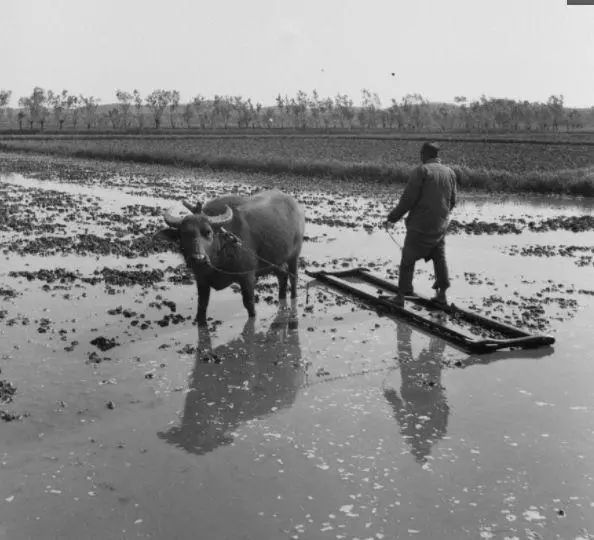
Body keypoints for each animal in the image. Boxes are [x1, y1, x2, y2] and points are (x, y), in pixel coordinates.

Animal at [158, 190, 302, 324]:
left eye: (208, 232)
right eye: (183, 234)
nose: (198, 259)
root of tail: (294, 204)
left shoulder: (247, 277)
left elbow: (249, 304)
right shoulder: (201, 280)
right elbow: (202, 306)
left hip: (294, 256)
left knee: (293, 278)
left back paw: (294, 299)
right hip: (276, 261)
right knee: (282, 275)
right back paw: (282, 300)